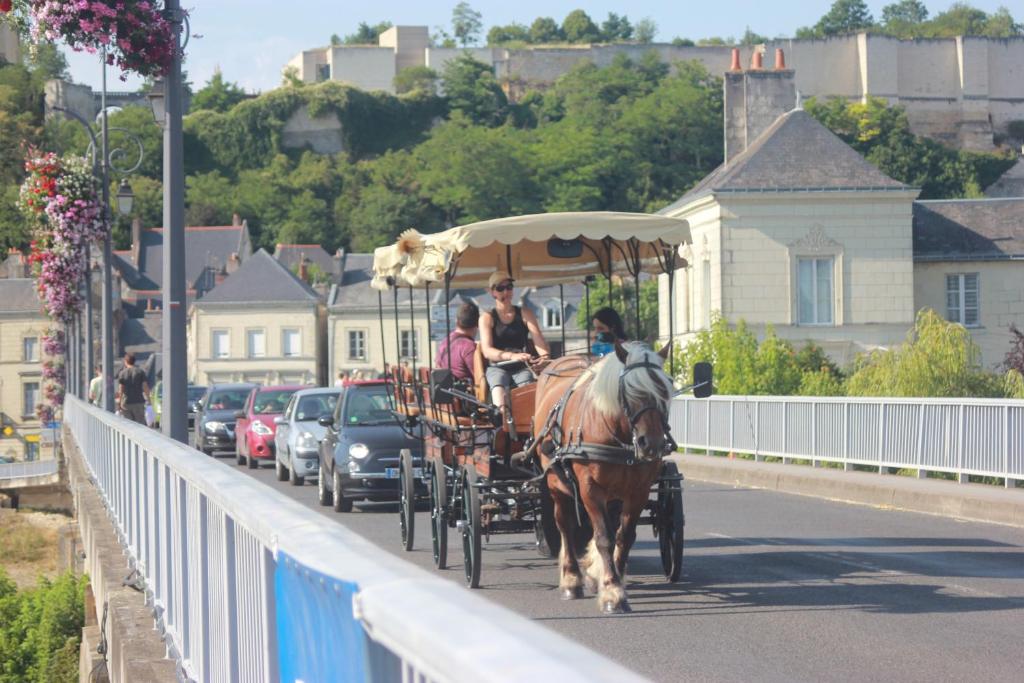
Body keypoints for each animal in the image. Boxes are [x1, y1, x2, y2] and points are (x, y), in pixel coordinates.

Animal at [532, 342, 675, 614]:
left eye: (665, 390)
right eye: (630, 390)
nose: (651, 444)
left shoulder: (637, 491)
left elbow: (624, 536)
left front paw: (612, 577)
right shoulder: (590, 488)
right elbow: (604, 538)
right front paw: (612, 591)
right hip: (556, 484)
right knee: (565, 525)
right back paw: (571, 579)